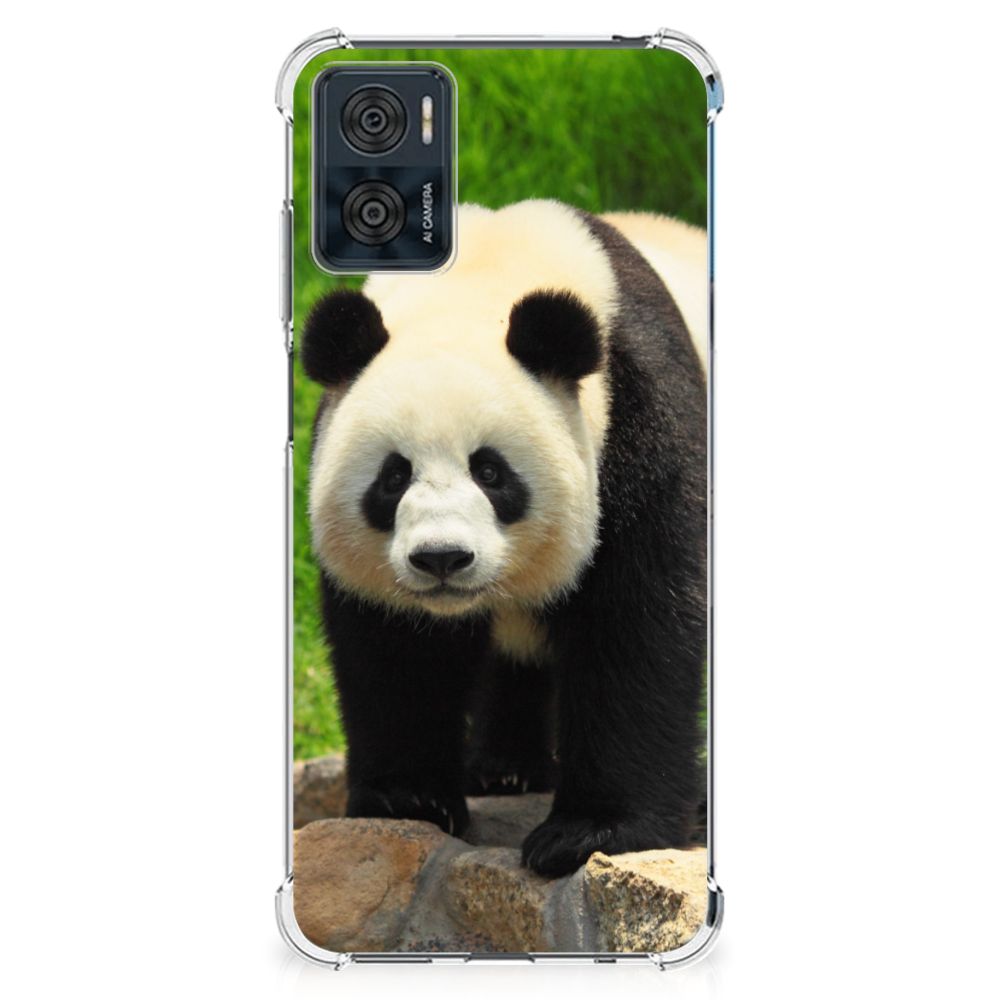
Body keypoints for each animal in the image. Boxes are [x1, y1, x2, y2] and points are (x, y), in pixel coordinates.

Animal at [302, 200, 707, 877]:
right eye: (393, 476)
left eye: (490, 472)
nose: (442, 558)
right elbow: (395, 649)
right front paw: (408, 799)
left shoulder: (641, 419)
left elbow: (638, 623)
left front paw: (589, 832)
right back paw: (504, 769)